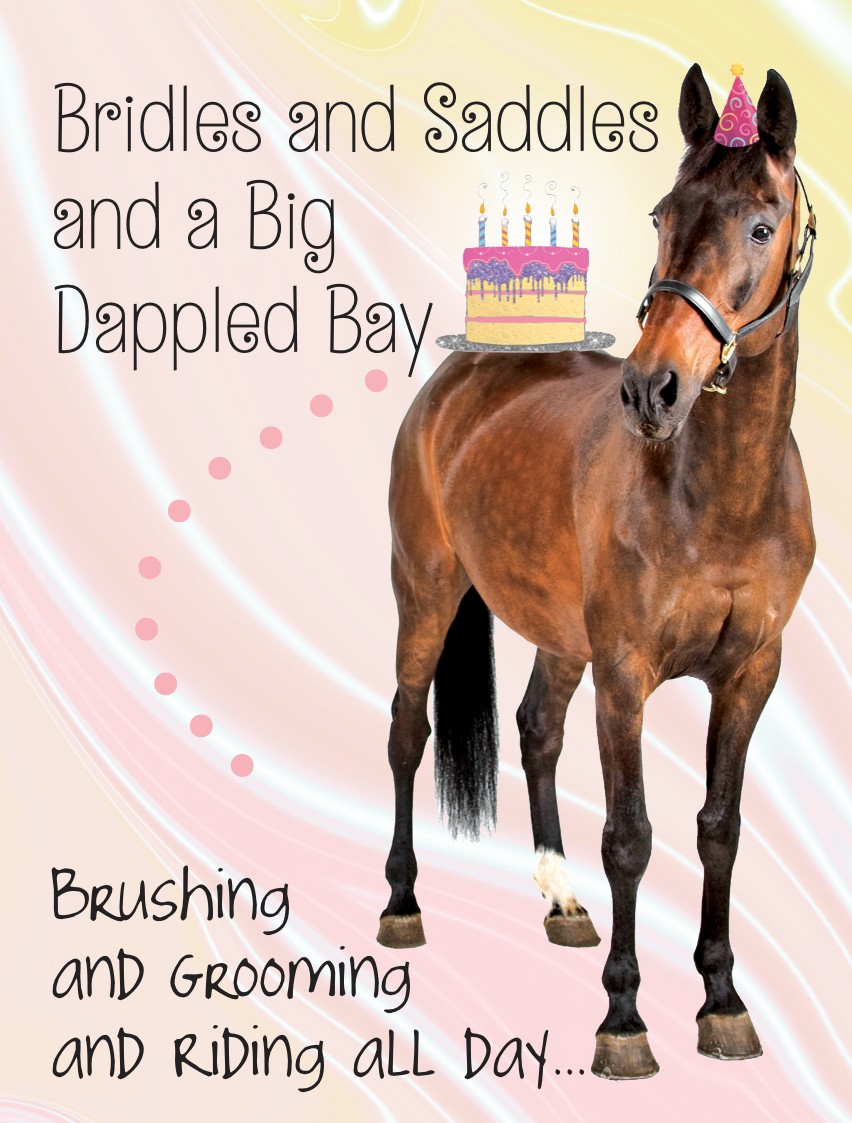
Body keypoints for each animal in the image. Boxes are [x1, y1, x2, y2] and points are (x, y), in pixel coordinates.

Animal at [376, 64, 816, 1080]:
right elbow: (632, 837)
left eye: (762, 224)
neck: (719, 494)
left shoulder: (751, 674)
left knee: (537, 727)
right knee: (408, 732)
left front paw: (722, 1001)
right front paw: (624, 1017)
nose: (653, 389)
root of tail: (455, 383)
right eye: (663, 214)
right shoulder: (626, 673)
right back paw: (403, 903)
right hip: (426, 595)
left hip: (559, 632)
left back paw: (560, 898)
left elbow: (720, 829)